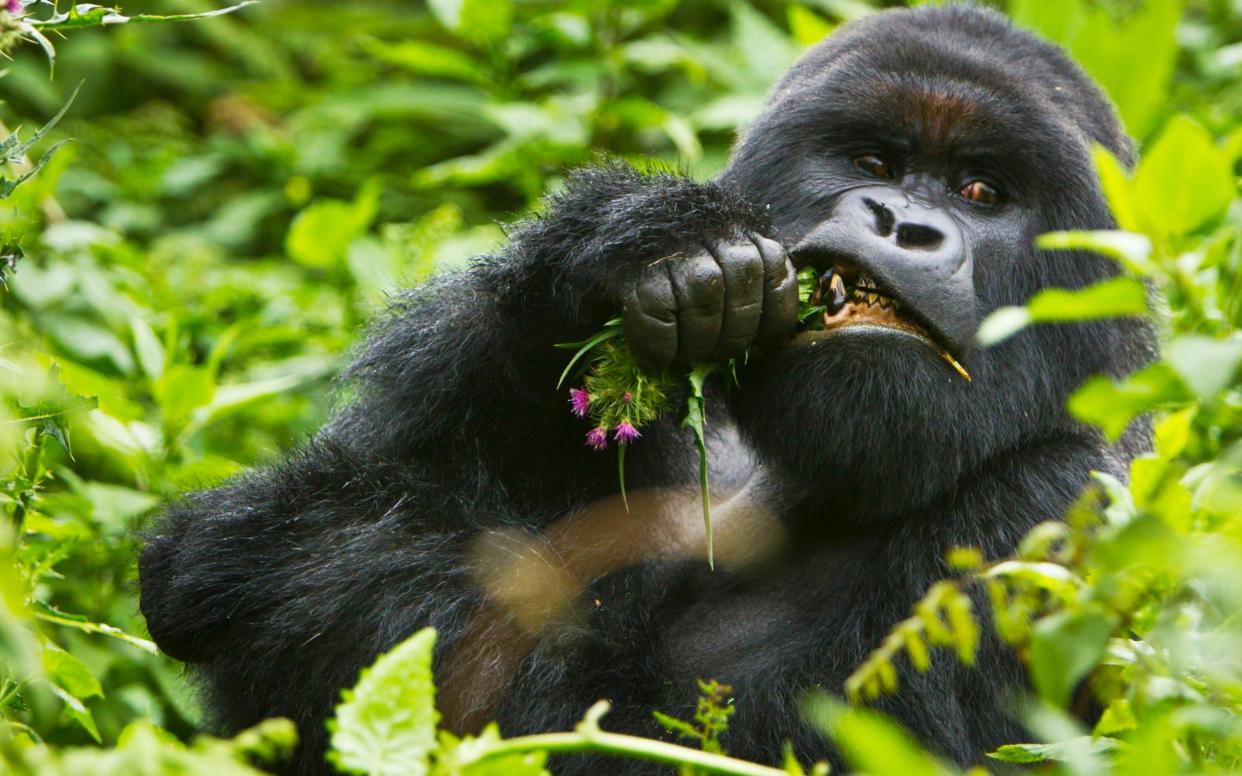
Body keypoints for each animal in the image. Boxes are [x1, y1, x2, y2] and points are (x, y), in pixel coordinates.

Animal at [142, 6, 1152, 774]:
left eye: (983, 192)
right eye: (873, 164)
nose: (900, 224)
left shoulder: (1059, 509)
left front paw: (327, 576)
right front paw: (634, 246)